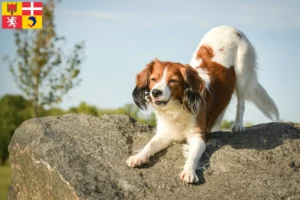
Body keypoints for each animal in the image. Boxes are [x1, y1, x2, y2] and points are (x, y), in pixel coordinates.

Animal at [125, 25, 278, 183]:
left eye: (173, 81)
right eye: (153, 79)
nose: (155, 92)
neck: (177, 107)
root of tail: (229, 27)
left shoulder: (198, 136)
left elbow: (193, 156)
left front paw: (189, 171)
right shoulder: (166, 133)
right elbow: (150, 145)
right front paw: (138, 157)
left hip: (242, 74)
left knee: (240, 103)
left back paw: (238, 125)